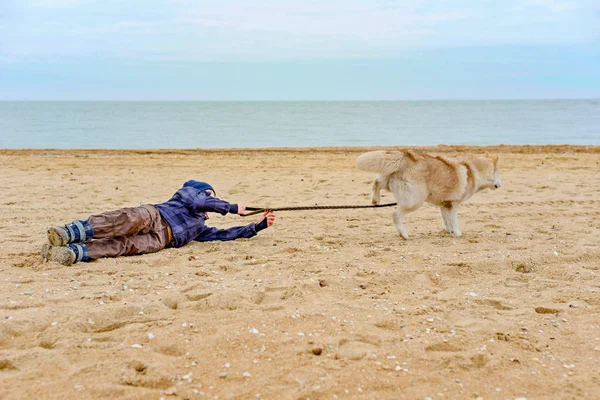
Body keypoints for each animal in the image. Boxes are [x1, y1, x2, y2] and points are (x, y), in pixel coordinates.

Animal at [356, 149, 502, 238]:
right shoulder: (453, 204)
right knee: (395, 214)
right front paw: (457, 233)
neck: (472, 171)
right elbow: (454, 220)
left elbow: (446, 220)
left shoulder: (445, 205)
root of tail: (406, 156)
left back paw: (375, 200)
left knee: (376, 182)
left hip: (388, 181)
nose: (501, 185)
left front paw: (449, 231)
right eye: (498, 173)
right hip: (415, 201)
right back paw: (404, 234)